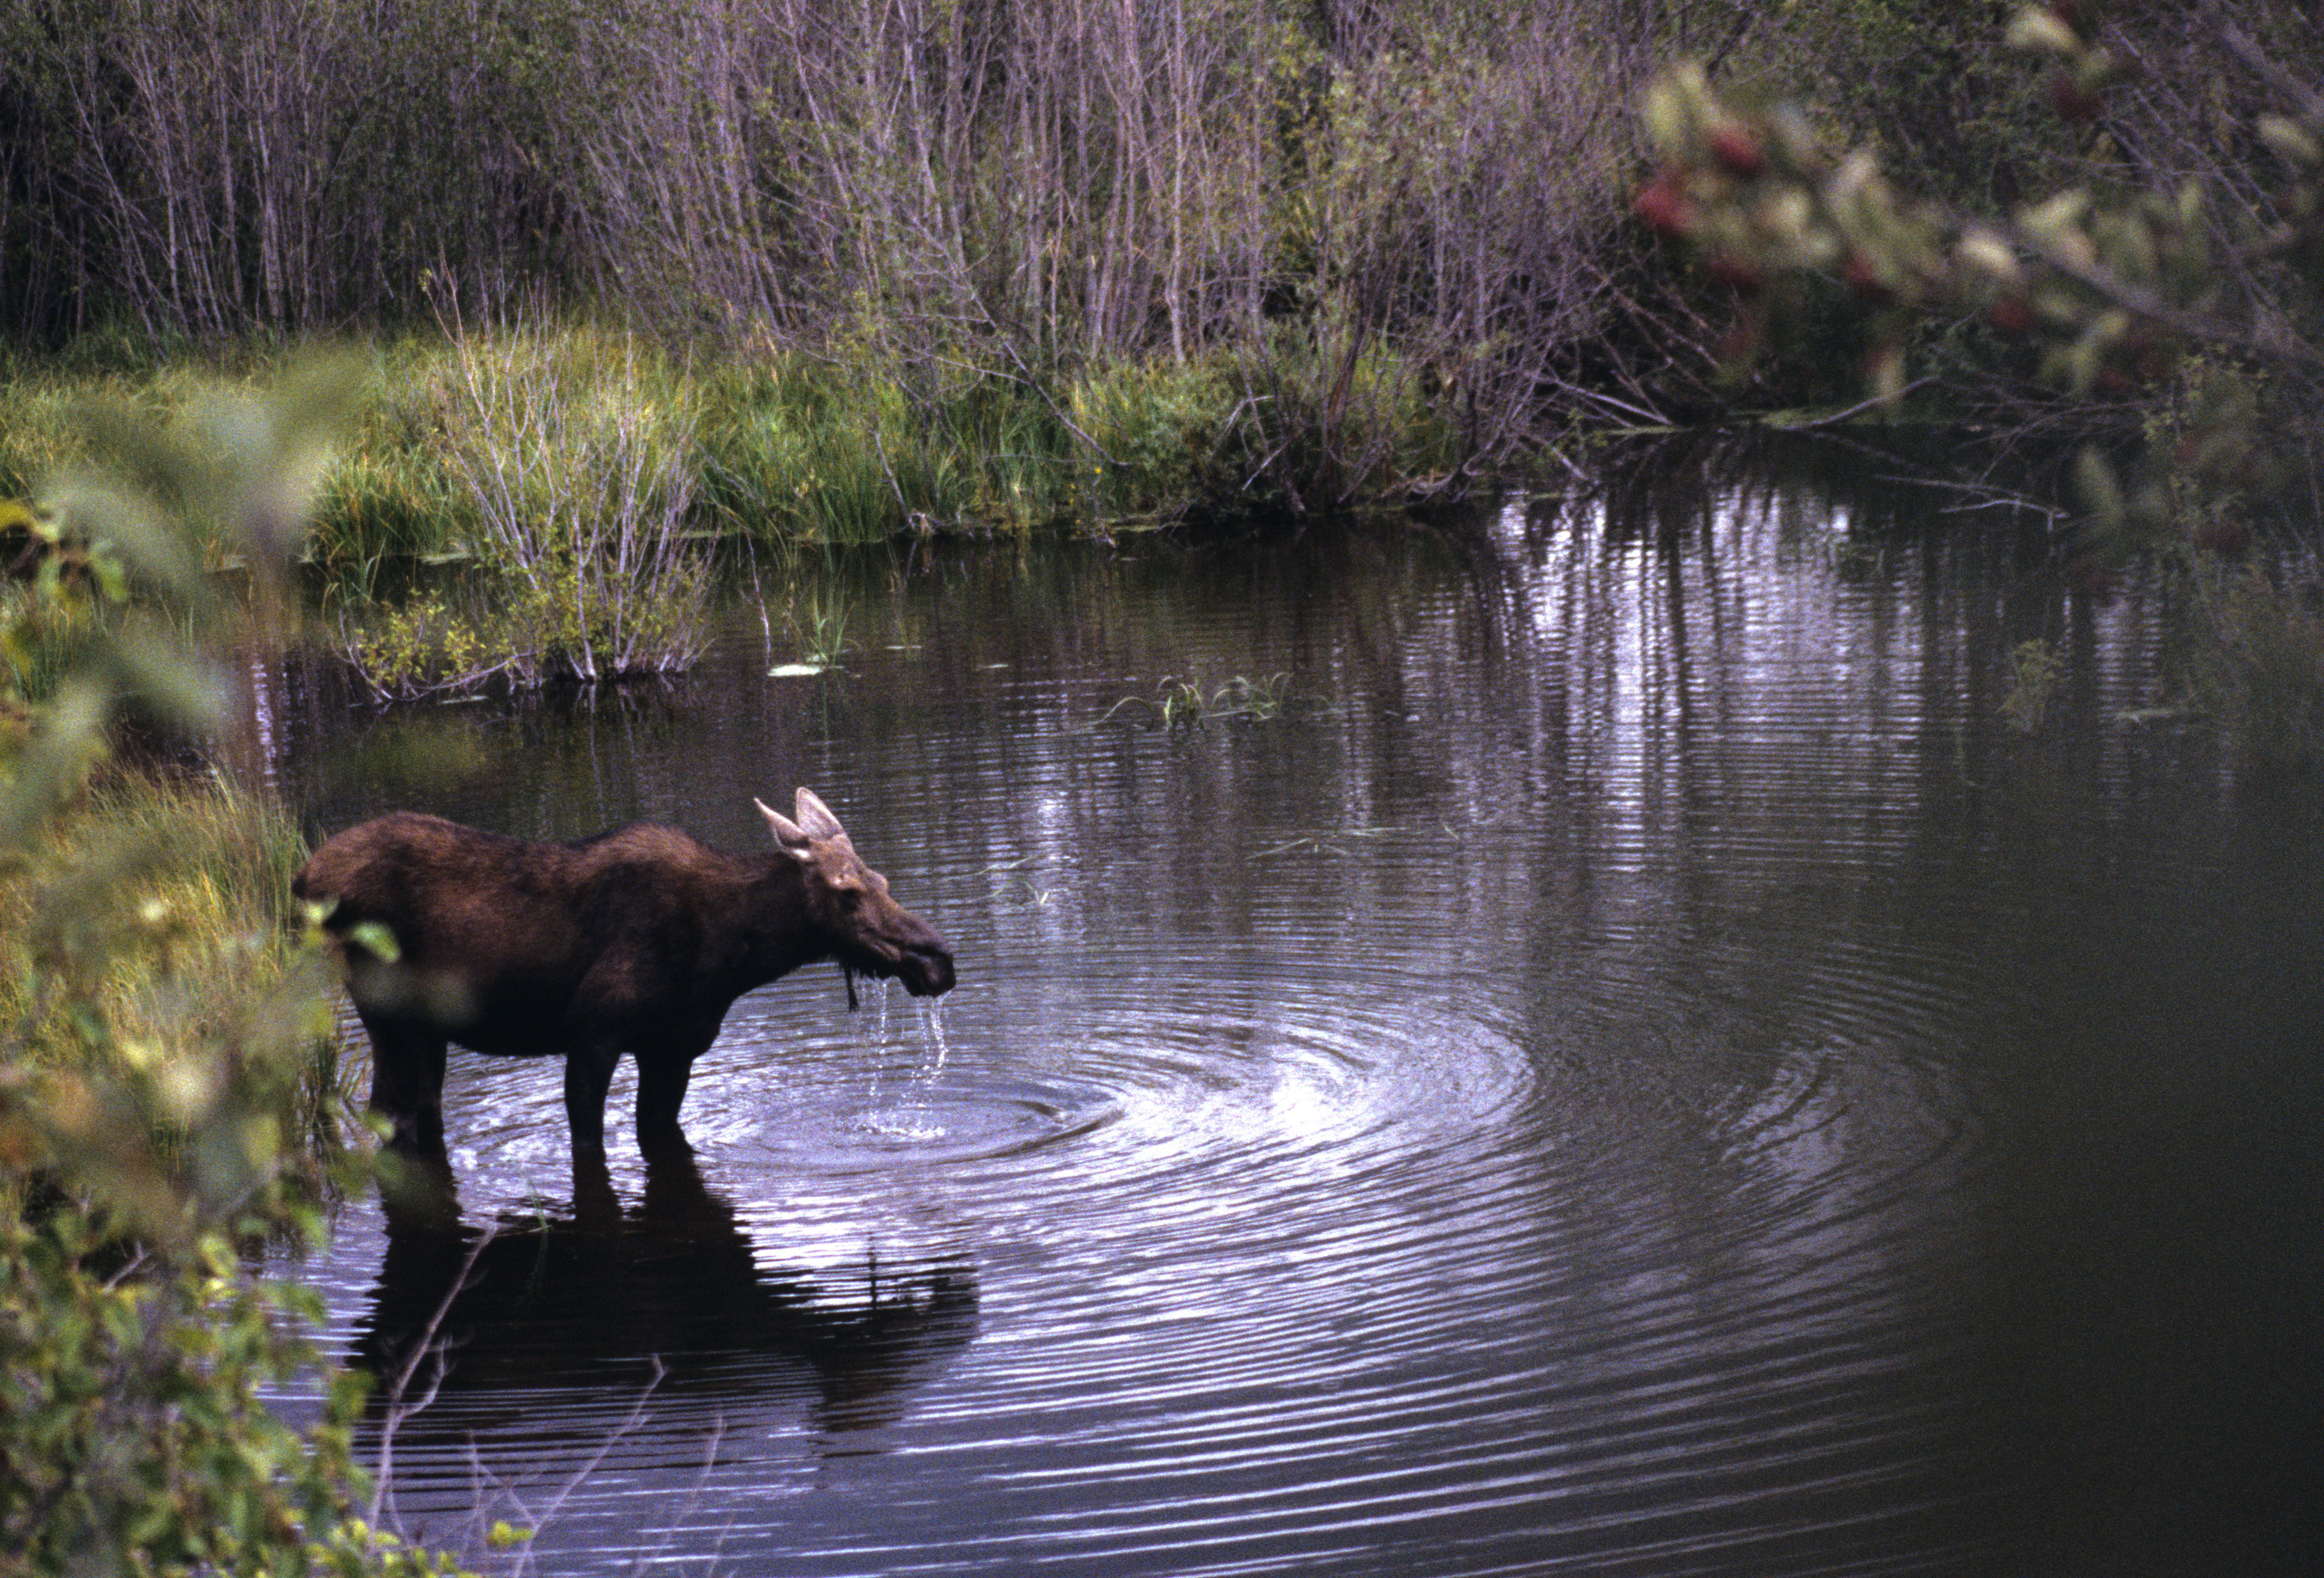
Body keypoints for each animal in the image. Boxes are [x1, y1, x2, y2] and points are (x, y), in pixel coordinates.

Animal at [297, 790, 953, 1162]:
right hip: (388, 1014)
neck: (733, 956)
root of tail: (304, 879)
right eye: (846, 894)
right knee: (391, 1113)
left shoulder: (675, 1047)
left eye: (882, 882)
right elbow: (588, 1139)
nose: (937, 960)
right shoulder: (594, 1030)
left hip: (423, 1029)